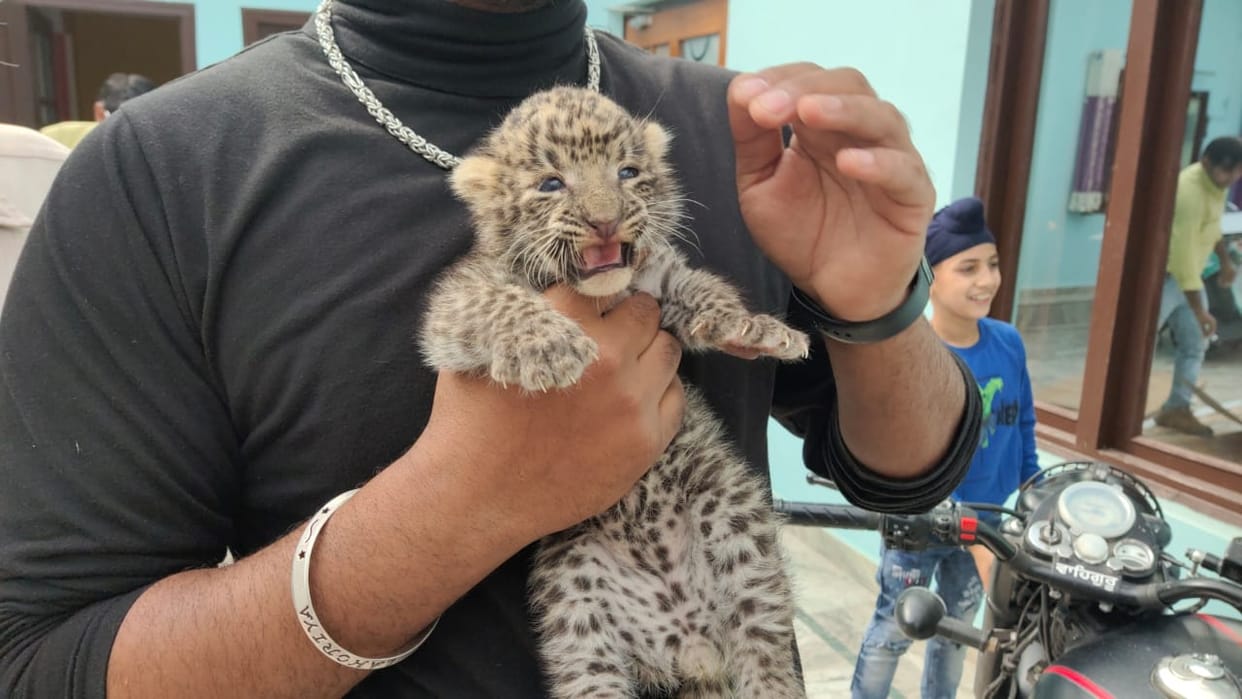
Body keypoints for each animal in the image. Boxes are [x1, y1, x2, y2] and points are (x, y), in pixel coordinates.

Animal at [420, 86, 810, 699]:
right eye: (551, 183)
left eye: (627, 173)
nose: (605, 222)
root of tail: (689, 646)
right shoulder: (457, 302)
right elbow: (496, 303)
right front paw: (550, 345)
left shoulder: (664, 280)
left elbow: (706, 290)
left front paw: (756, 328)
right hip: (576, 615)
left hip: (737, 523)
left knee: (762, 642)